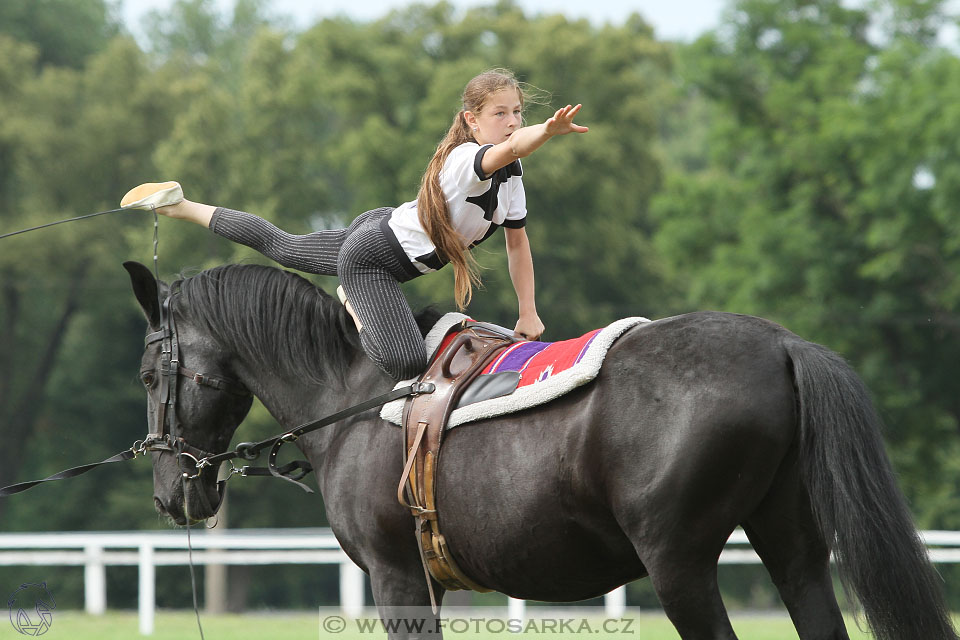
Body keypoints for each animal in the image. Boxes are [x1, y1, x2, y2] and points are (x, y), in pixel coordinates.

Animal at [124, 262, 956, 640]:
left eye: (147, 373)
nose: (172, 492)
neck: (353, 391)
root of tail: (783, 345)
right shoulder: (432, 583)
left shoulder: (398, 579)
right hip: (793, 546)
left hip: (678, 563)